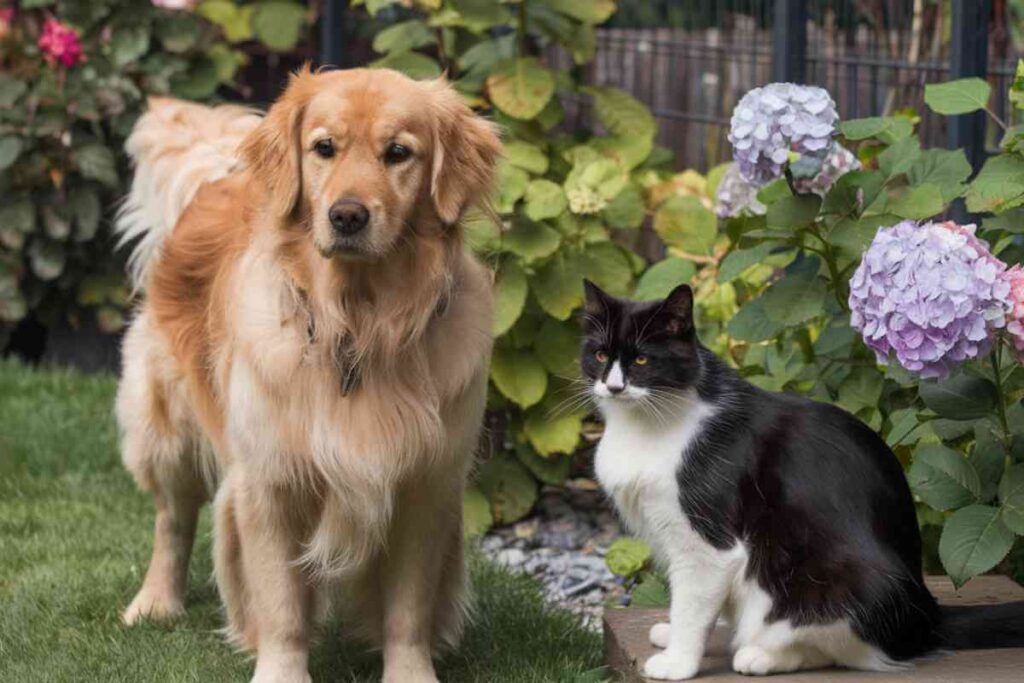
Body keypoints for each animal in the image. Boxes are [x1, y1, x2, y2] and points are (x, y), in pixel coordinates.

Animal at [114, 65, 501, 683]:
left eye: (399, 153)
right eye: (324, 148)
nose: (347, 215)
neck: (358, 325)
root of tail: (218, 176)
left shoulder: (424, 482)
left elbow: (408, 609)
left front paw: (410, 673)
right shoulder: (269, 482)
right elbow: (282, 606)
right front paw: (280, 672)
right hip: (165, 424)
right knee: (171, 519)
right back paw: (154, 603)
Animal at [581, 280, 1024, 679]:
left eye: (642, 361)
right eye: (600, 354)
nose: (613, 386)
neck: (648, 423)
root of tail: (929, 616)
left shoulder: (708, 544)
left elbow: (693, 606)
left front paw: (678, 663)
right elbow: (683, 601)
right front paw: (671, 633)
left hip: (840, 583)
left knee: (839, 648)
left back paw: (759, 656)